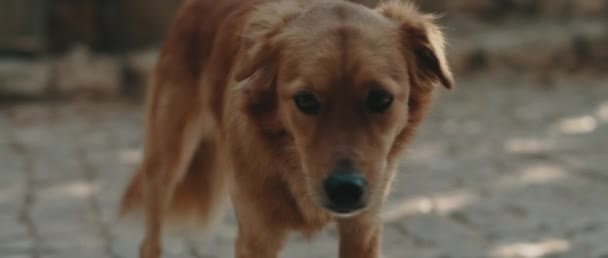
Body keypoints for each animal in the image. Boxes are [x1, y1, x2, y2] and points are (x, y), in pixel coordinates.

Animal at [120, 0, 452, 258]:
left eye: (380, 99)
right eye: (305, 100)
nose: (345, 190)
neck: (289, 161)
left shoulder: (363, 230)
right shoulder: (257, 237)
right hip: (166, 160)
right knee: (150, 241)